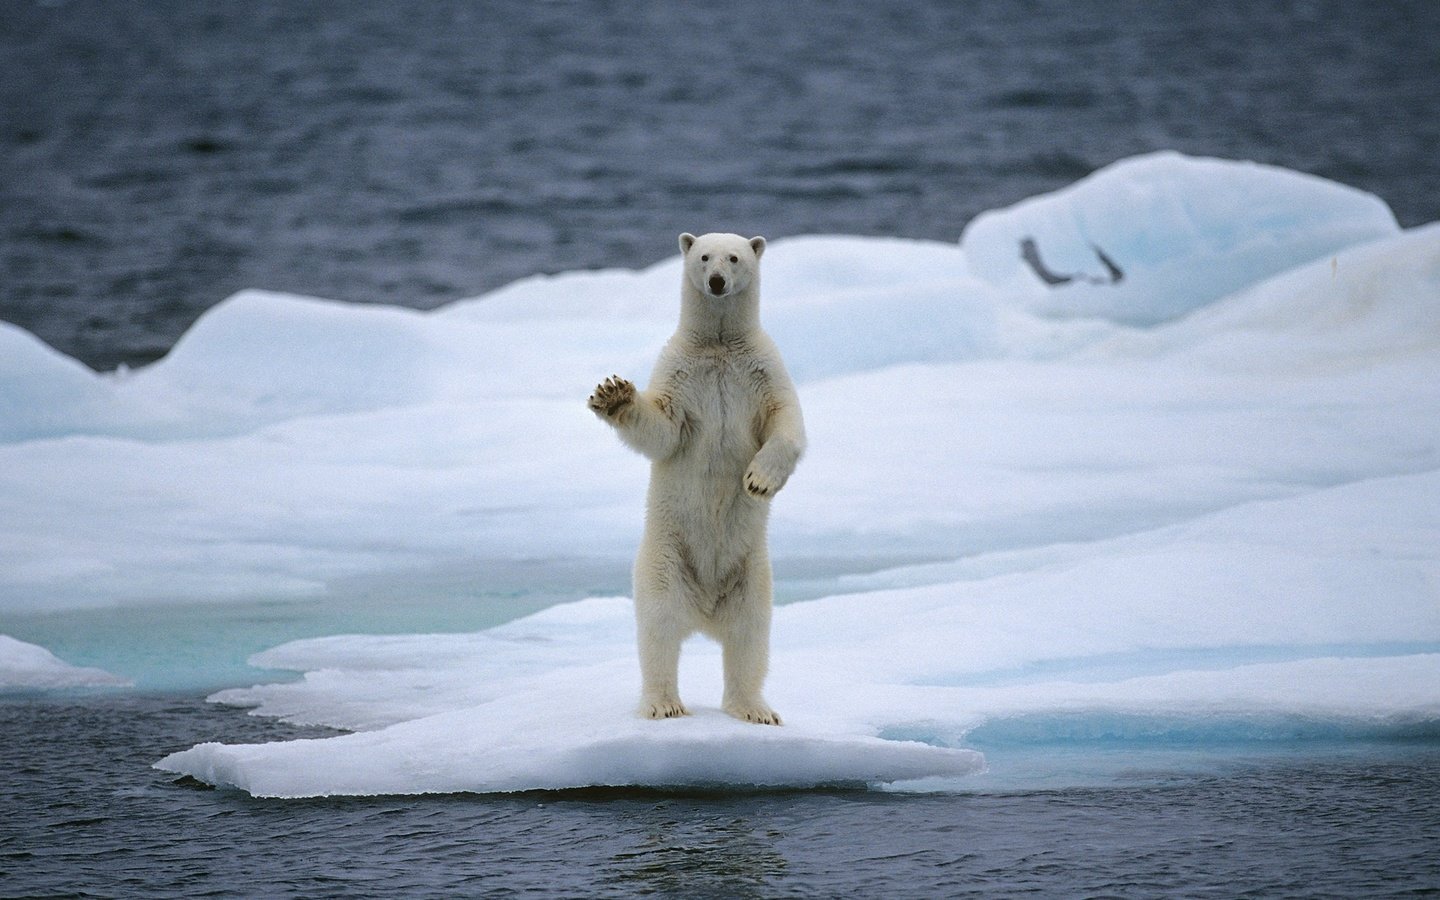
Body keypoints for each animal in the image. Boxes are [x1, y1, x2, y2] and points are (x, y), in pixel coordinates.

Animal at [587, 230, 812, 722]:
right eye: (705, 256)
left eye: (735, 257)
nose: (716, 281)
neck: (720, 346)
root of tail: (706, 612)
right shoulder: (681, 373)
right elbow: (663, 429)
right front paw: (613, 394)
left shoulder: (763, 370)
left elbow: (786, 424)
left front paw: (758, 480)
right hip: (665, 559)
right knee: (659, 629)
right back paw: (664, 703)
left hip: (752, 573)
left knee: (750, 637)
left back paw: (755, 709)